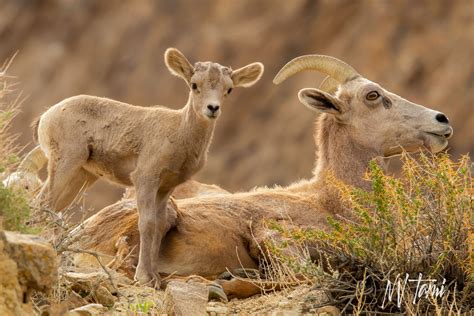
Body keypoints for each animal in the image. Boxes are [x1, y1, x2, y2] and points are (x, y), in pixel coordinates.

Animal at [32, 47, 264, 286]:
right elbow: (147, 223)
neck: (180, 133)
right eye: (194, 85)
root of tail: (47, 116)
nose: (212, 108)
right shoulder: (145, 179)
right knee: (41, 203)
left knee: (52, 208)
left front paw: (155, 278)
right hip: (66, 165)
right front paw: (144, 278)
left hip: (81, 176)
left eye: (229, 89)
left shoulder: (165, 187)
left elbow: (159, 225)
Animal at [63, 53, 452, 298]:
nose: (441, 120)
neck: (331, 201)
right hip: (163, 213)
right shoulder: (274, 234)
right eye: (373, 95)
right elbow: (307, 274)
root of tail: (77, 237)